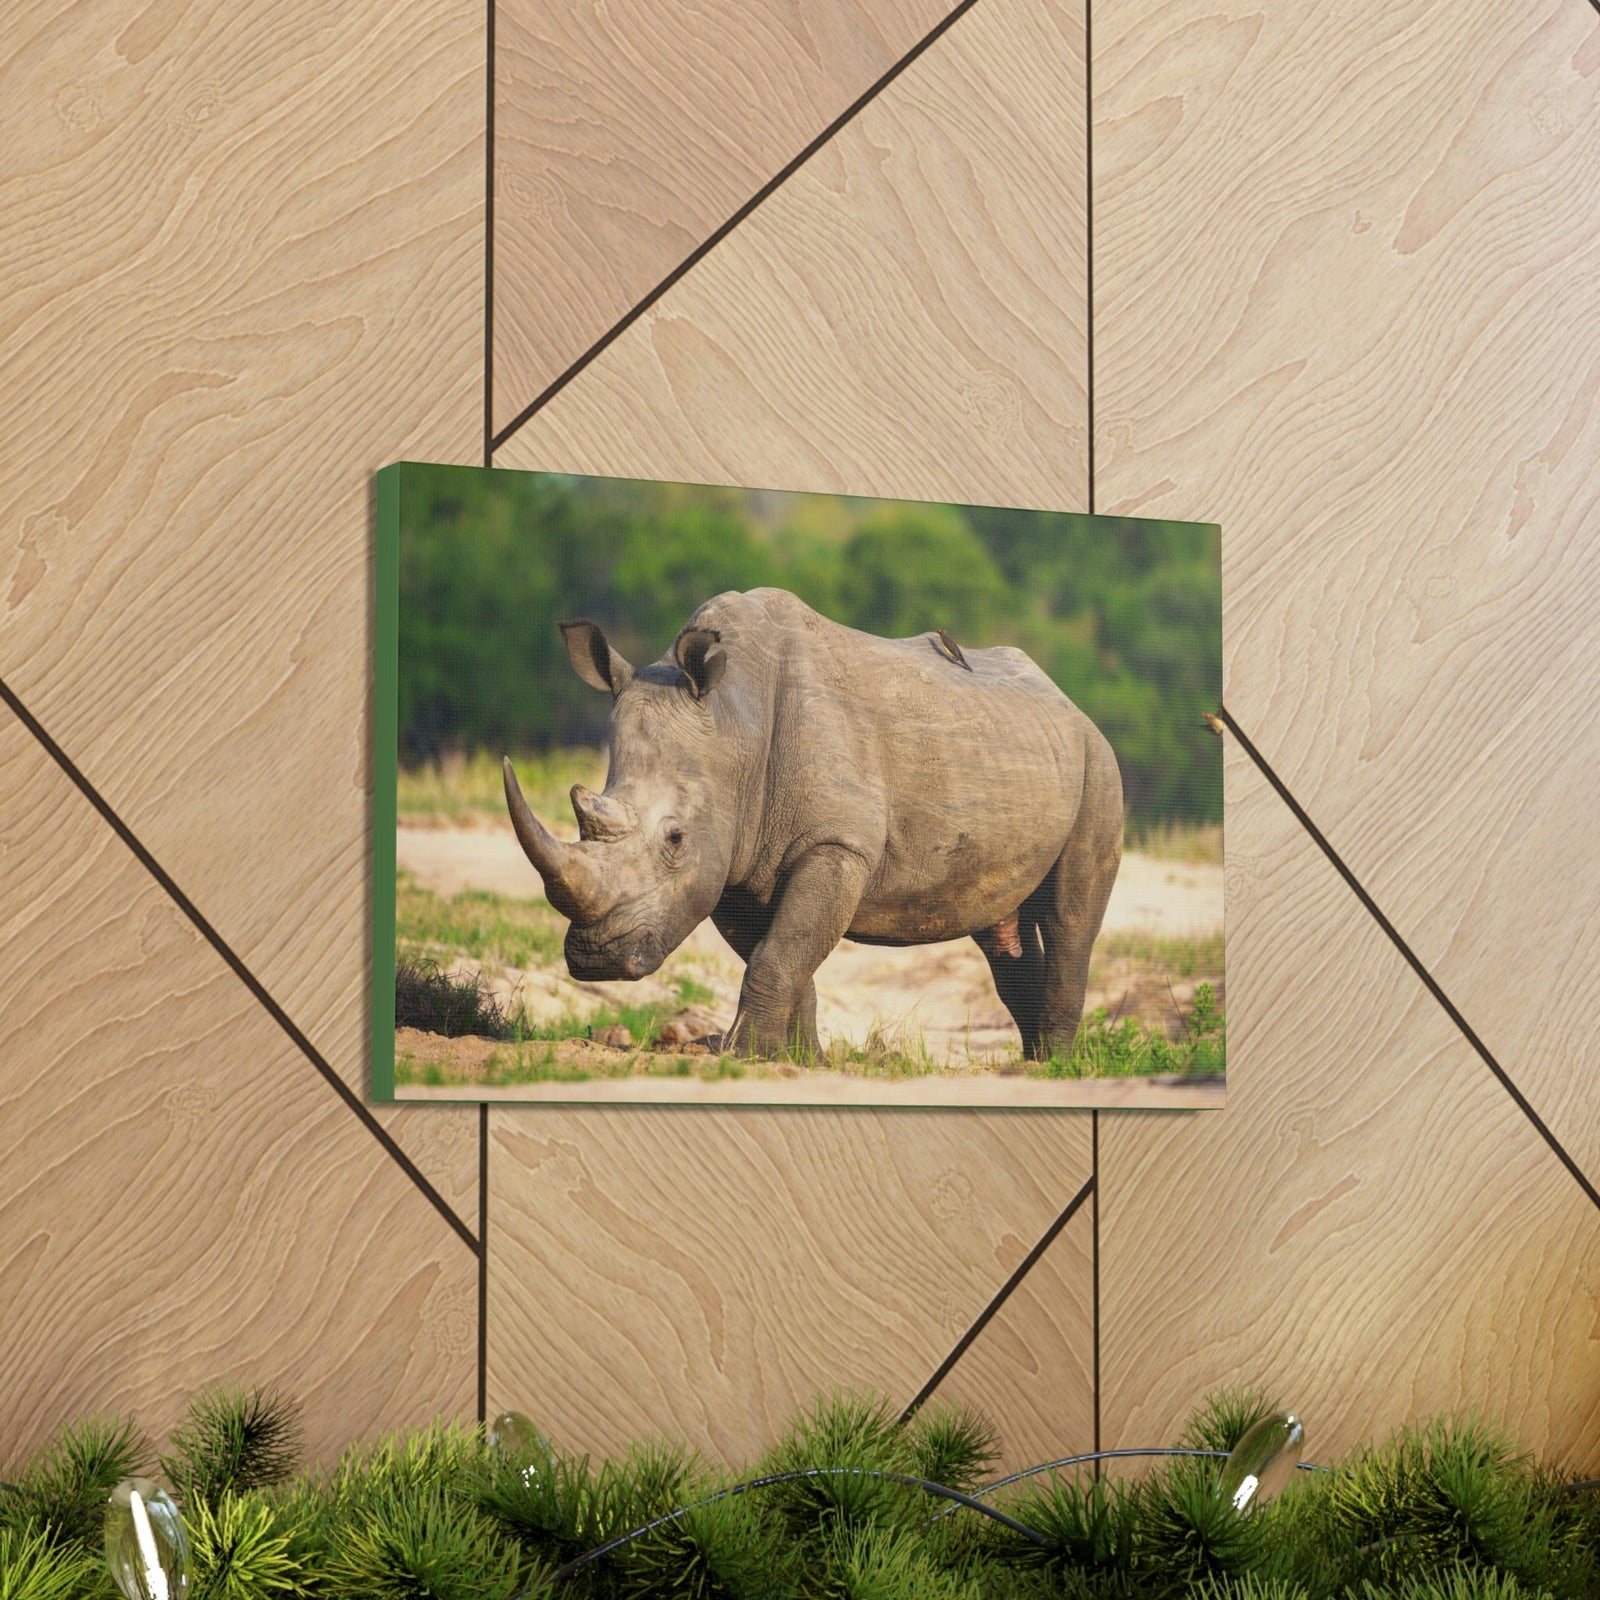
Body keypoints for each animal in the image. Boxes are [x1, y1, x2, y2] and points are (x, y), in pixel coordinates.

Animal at [503, 587, 1122, 1061]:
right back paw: (1032, 1062)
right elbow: (779, 955)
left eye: (675, 838)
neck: (735, 723)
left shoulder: (834, 844)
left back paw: (1055, 1068)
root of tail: (1066, 699)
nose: (596, 958)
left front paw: (747, 1055)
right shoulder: (733, 858)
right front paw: (795, 1060)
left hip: (1098, 763)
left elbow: (780, 952)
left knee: (1069, 919)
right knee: (1000, 934)